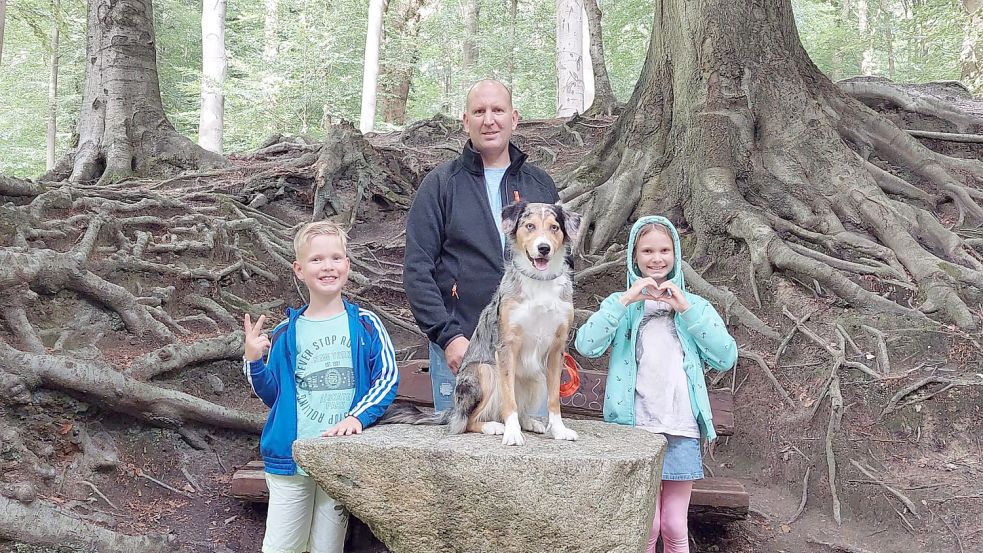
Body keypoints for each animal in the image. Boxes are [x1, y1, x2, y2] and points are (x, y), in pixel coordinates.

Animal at [382, 202, 584, 444]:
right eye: (530, 226)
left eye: (554, 227)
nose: (543, 248)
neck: (539, 282)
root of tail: (453, 410)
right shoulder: (506, 347)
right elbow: (509, 401)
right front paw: (512, 433)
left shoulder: (556, 350)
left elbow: (554, 400)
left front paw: (559, 430)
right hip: (485, 371)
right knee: (466, 422)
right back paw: (493, 426)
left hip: (536, 378)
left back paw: (529, 422)